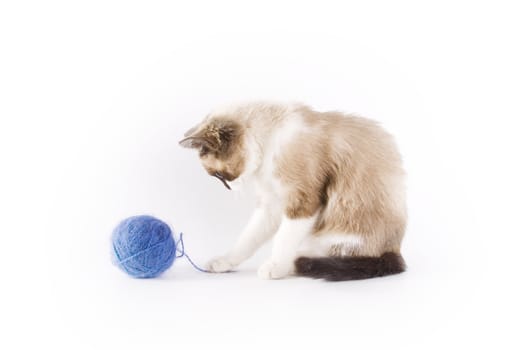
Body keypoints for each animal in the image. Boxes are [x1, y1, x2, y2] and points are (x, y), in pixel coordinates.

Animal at [180, 102, 406, 282]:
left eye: (219, 175)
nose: (230, 188)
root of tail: (392, 250)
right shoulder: (271, 205)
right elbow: (247, 238)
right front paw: (224, 261)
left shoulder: (302, 202)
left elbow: (283, 238)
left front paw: (275, 266)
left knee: (311, 259)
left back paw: (288, 265)